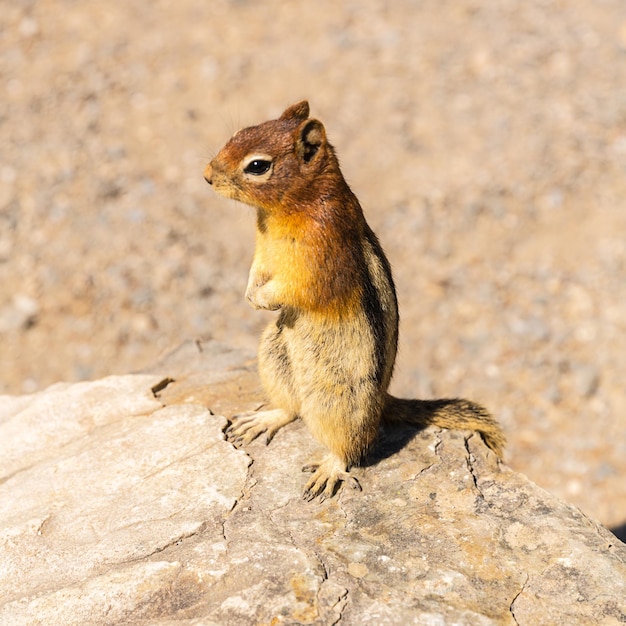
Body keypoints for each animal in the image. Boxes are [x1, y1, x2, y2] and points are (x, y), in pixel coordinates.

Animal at [202, 102, 504, 502]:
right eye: (239, 133)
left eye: (257, 166)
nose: (206, 176)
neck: (288, 208)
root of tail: (382, 401)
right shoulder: (263, 252)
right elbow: (256, 270)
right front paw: (251, 294)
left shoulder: (319, 259)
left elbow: (295, 289)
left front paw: (262, 298)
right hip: (274, 354)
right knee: (290, 408)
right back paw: (264, 419)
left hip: (339, 401)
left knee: (350, 446)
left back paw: (329, 469)